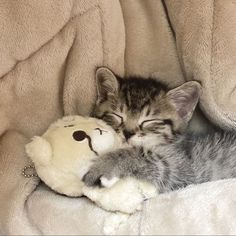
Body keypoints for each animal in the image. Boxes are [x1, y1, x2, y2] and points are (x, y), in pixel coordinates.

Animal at [82, 67, 236, 194]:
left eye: (148, 121)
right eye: (118, 116)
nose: (127, 133)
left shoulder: (185, 170)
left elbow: (142, 155)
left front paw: (104, 166)